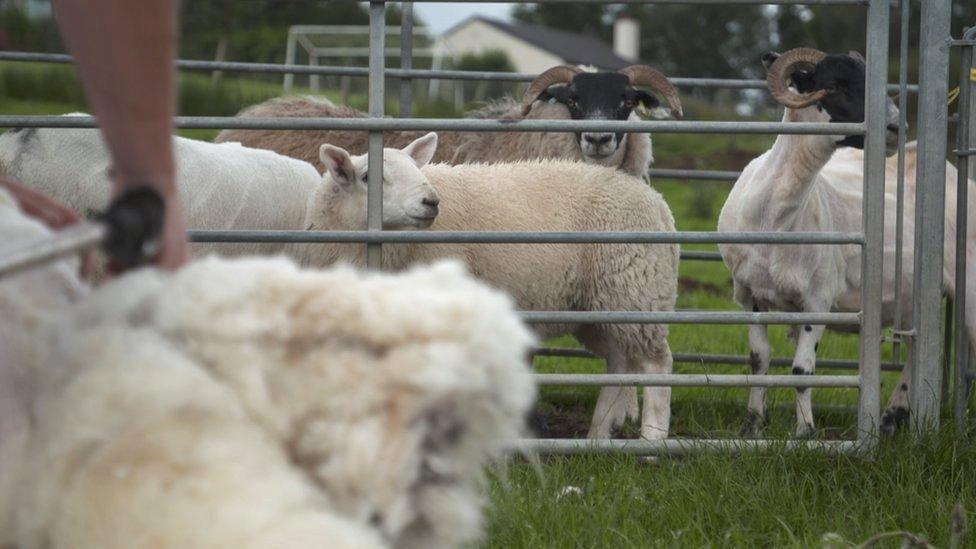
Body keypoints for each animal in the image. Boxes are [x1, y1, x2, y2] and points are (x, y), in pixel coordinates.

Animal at [304, 139, 680, 438]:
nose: (431, 201)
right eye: (368, 177)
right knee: (619, 360)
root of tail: (658, 201)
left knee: (657, 362)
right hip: (600, 304)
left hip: (635, 288)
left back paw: (652, 439)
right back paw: (598, 436)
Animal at [712, 49, 972, 438]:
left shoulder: (817, 300)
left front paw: (805, 433)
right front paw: (752, 427)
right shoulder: (752, 297)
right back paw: (891, 417)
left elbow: (802, 372)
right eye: (835, 85)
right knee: (917, 345)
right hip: (913, 295)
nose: (896, 129)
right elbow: (759, 361)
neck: (776, 215)